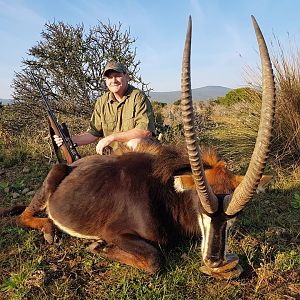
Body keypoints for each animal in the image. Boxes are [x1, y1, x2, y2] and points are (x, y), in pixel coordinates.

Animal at [14, 15, 276, 278]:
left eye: (234, 218)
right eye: (201, 209)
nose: (215, 260)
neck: (165, 192)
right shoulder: (117, 233)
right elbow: (154, 259)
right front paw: (96, 245)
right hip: (53, 177)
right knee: (22, 217)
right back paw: (49, 228)